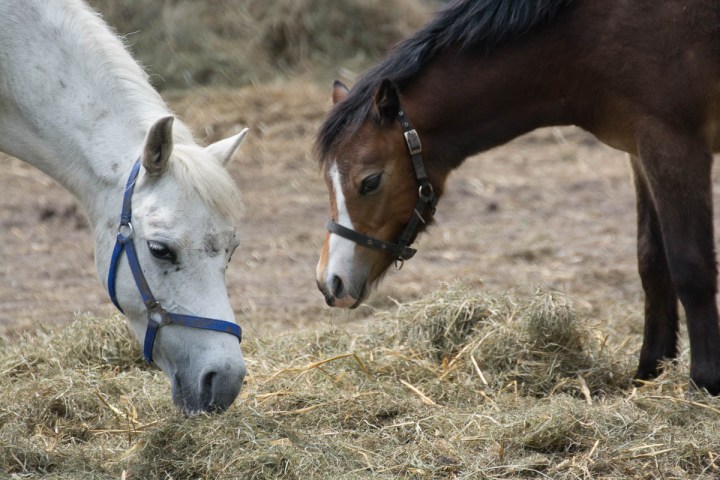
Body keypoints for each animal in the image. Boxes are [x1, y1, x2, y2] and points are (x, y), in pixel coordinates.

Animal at [315, 0, 720, 394]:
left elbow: (691, 266)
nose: (329, 282)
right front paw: (649, 371)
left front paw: (704, 382)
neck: (586, 40)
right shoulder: (638, 151)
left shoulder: (672, 144)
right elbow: (652, 262)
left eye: (370, 182)